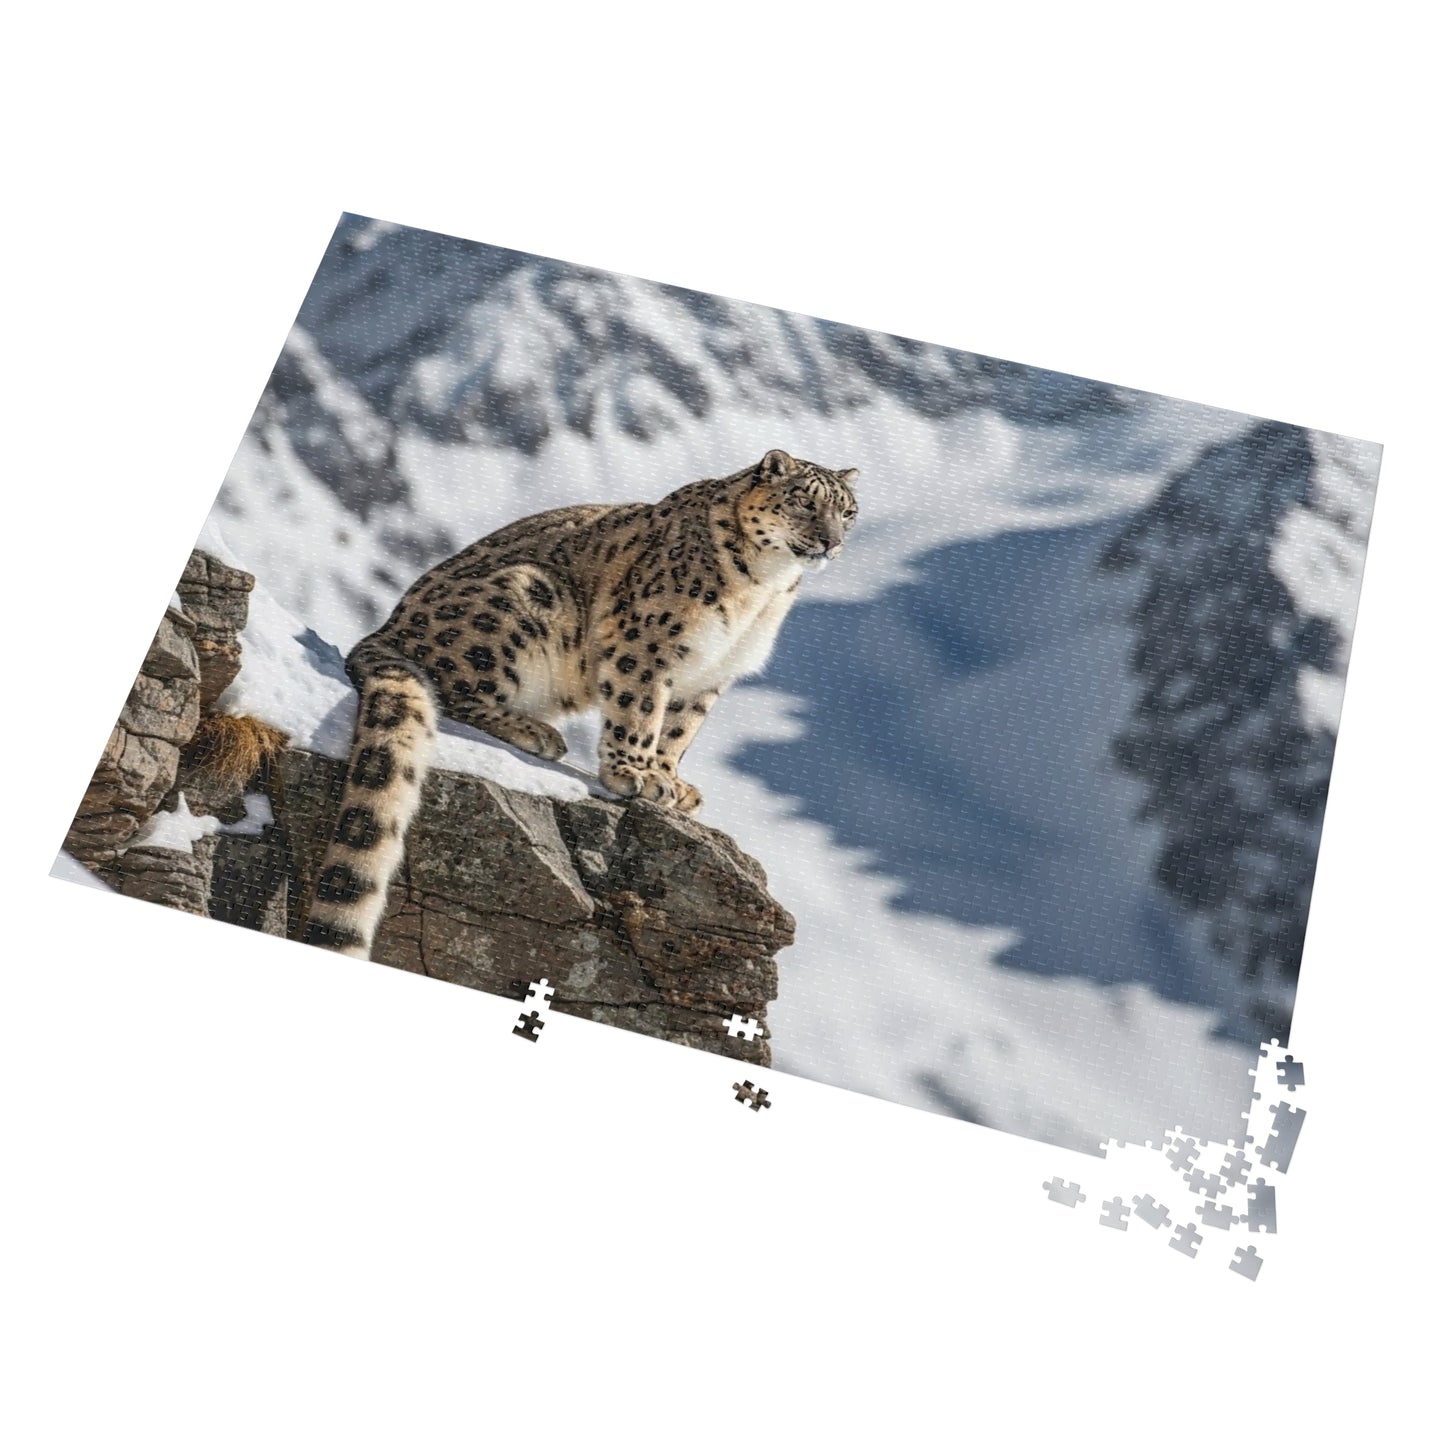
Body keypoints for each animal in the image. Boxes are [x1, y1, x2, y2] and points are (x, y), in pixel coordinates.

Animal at [302, 448, 859, 959]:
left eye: (848, 512)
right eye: (804, 502)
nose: (831, 542)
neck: (763, 589)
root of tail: (386, 628)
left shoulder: (710, 675)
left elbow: (678, 731)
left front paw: (672, 783)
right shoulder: (647, 643)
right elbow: (640, 709)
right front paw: (634, 773)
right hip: (521, 601)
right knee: (452, 690)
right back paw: (537, 732)